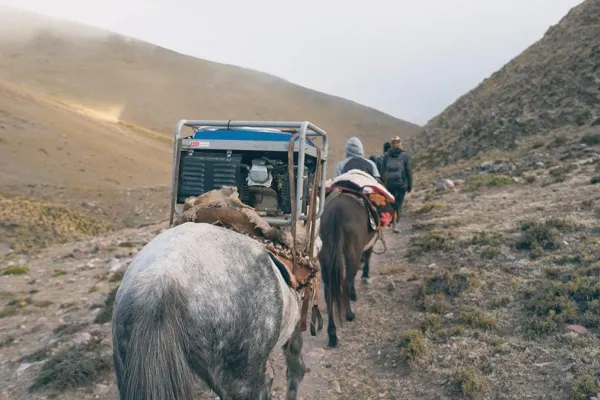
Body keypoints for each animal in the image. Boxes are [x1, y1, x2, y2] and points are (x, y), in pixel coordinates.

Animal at [316, 191, 378, 346]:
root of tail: (336, 212)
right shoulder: (368, 244)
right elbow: (367, 258)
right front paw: (364, 278)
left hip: (326, 258)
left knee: (329, 291)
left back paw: (332, 334)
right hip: (352, 254)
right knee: (345, 282)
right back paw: (349, 314)